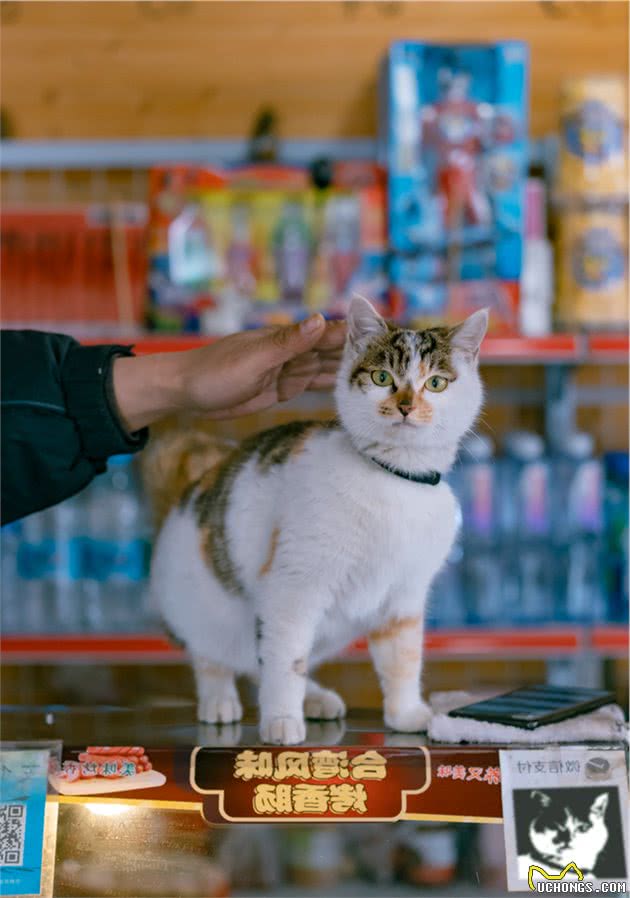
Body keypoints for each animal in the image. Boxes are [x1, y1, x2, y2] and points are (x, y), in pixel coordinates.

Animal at [143, 296, 488, 744]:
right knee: (218, 656)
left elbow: (402, 658)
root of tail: (188, 490)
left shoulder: (405, 597)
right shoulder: (294, 587)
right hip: (203, 606)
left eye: (436, 384)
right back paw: (220, 700)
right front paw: (281, 720)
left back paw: (315, 699)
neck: (395, 479)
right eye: (382, 377)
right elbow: (286, 660)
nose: (406, 406)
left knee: (263, 658)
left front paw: (406, 713)